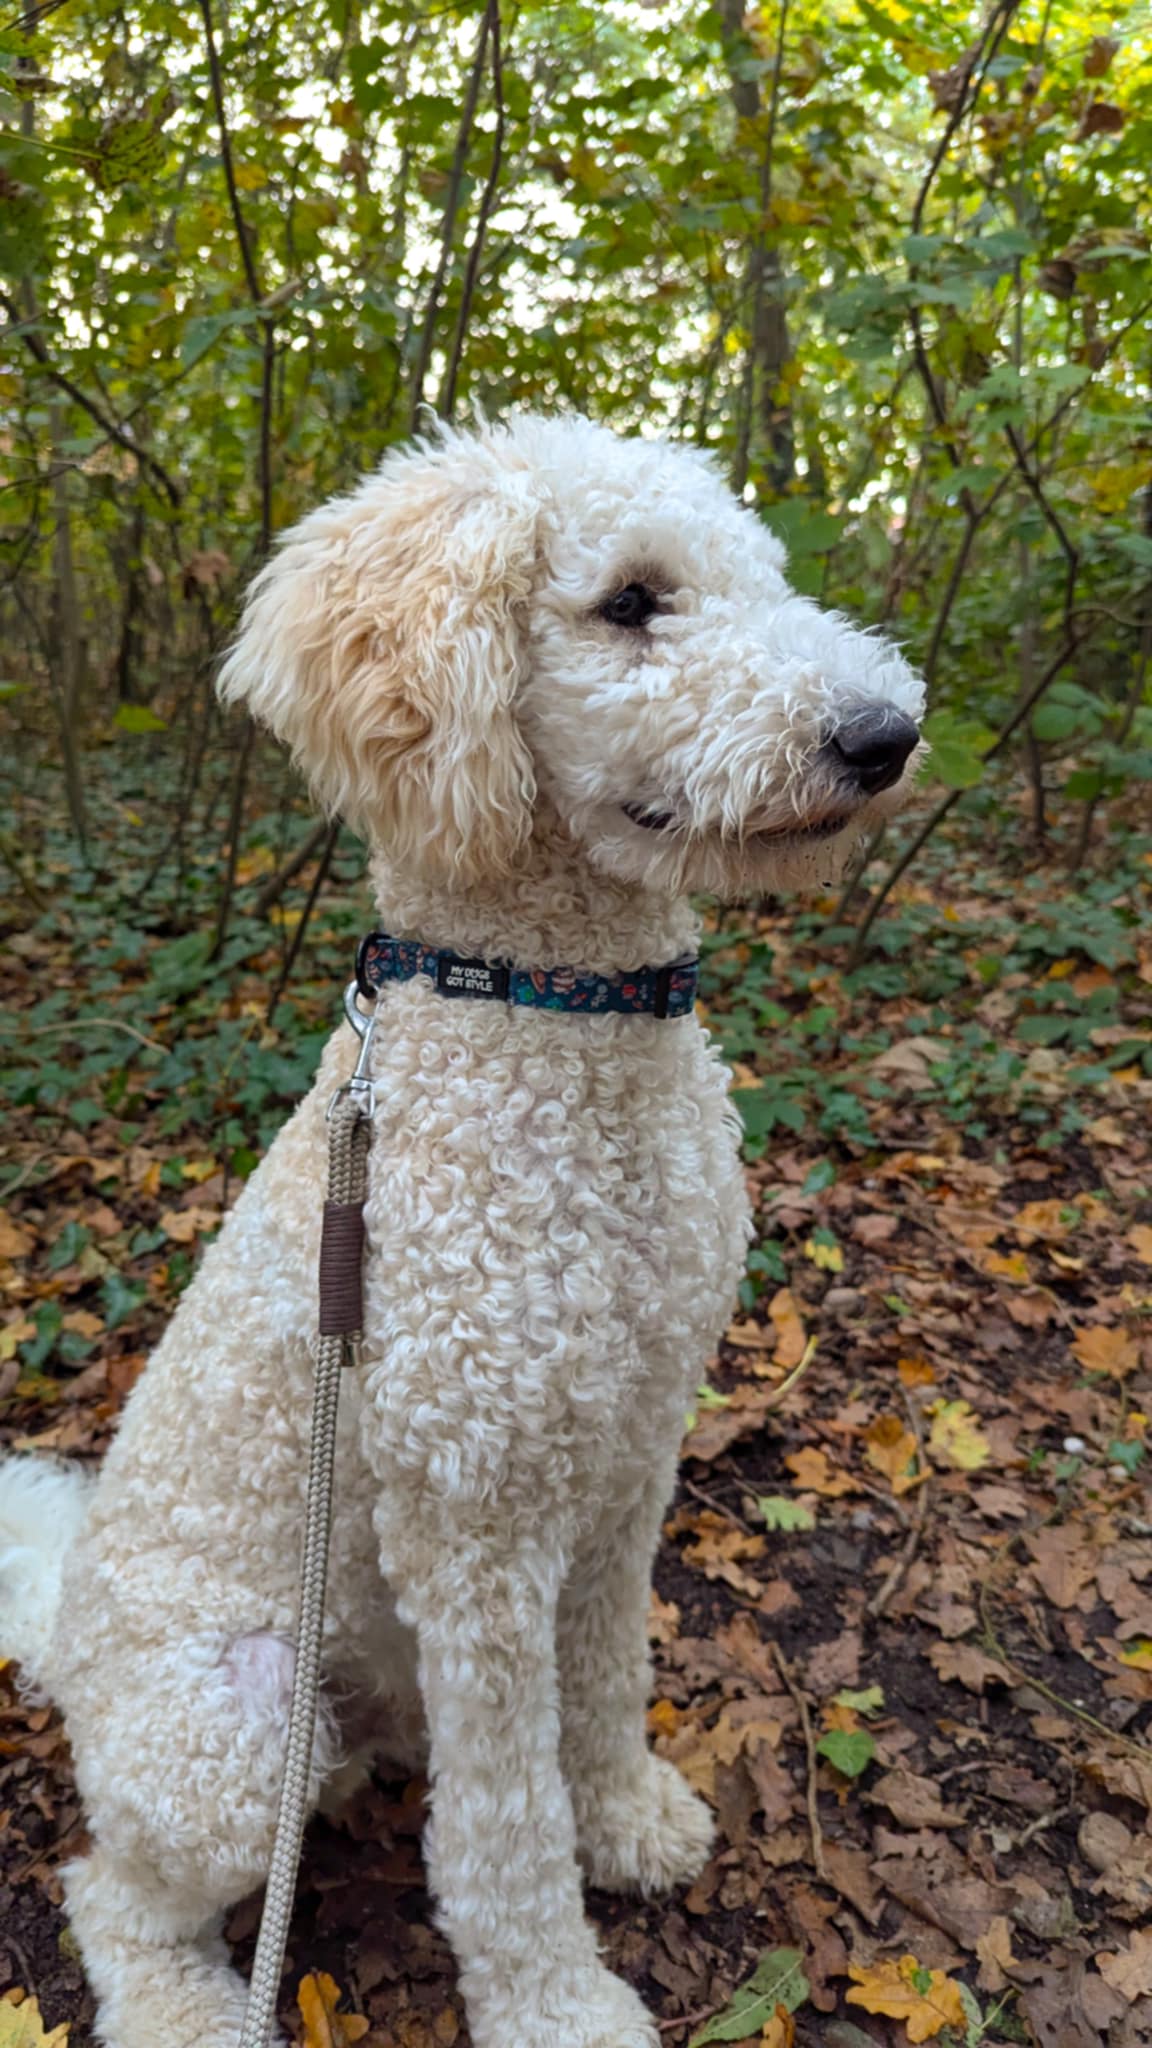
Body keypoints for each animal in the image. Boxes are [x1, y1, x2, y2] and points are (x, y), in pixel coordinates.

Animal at [0, 415, 914, 2048]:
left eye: (766, 576)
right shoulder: (473, 1518)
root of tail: (69, 1633)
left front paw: (623, 1815)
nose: (888, 737)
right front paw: (556, 1999)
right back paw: (187, 2008)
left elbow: (605, 1675)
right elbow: (500, 1824)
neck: (559, 1017)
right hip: (234, 1728)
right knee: (110, 1891)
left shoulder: (631, 1455)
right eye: (631, 602)